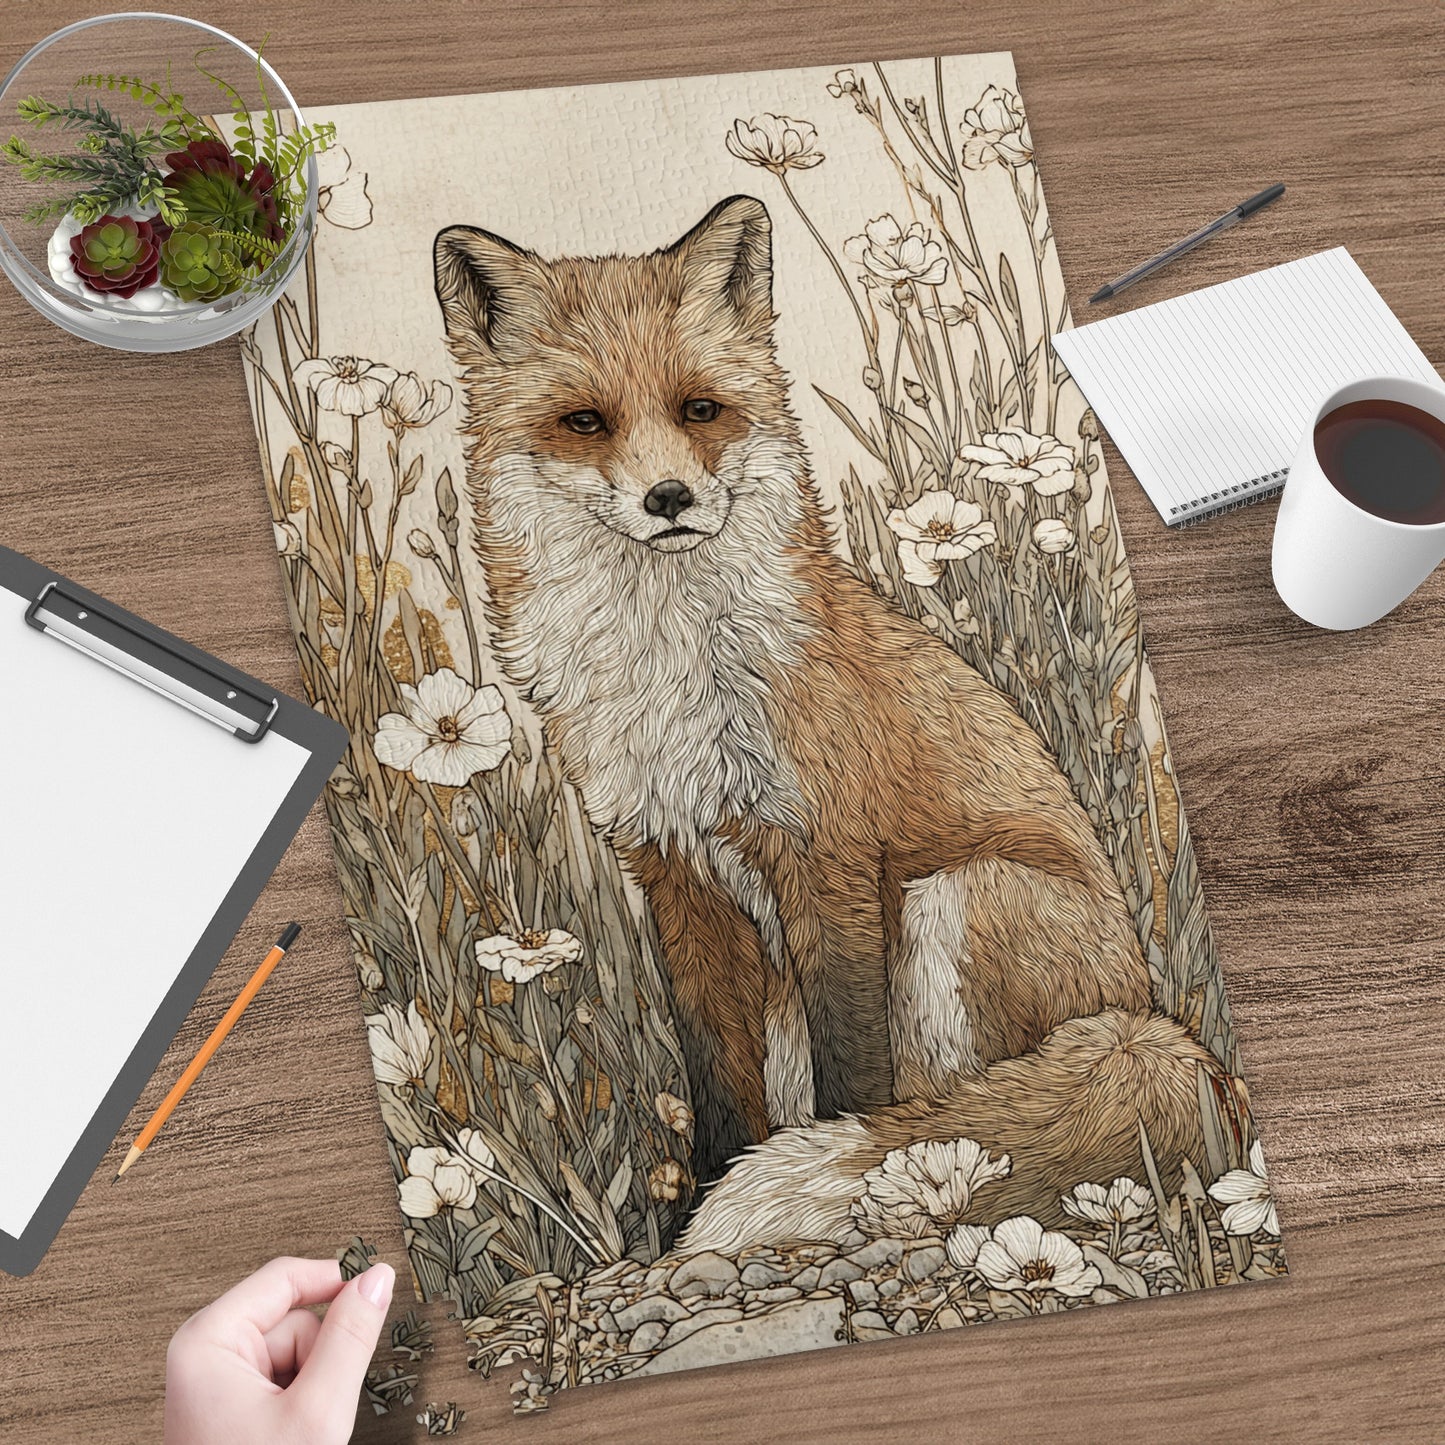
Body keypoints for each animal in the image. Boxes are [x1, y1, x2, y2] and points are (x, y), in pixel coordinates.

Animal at [433, 194, 1229, 1253]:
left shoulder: (825, 852)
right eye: (585, 422)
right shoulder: (672, 868)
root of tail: (1145, 1011)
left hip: (951, 897)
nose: (668, 499)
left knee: (961, 1109)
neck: (668, 666)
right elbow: (713, 1076)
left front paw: (832, 1172)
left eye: (699, 410)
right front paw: (697, 1202)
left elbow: (853, 1065)